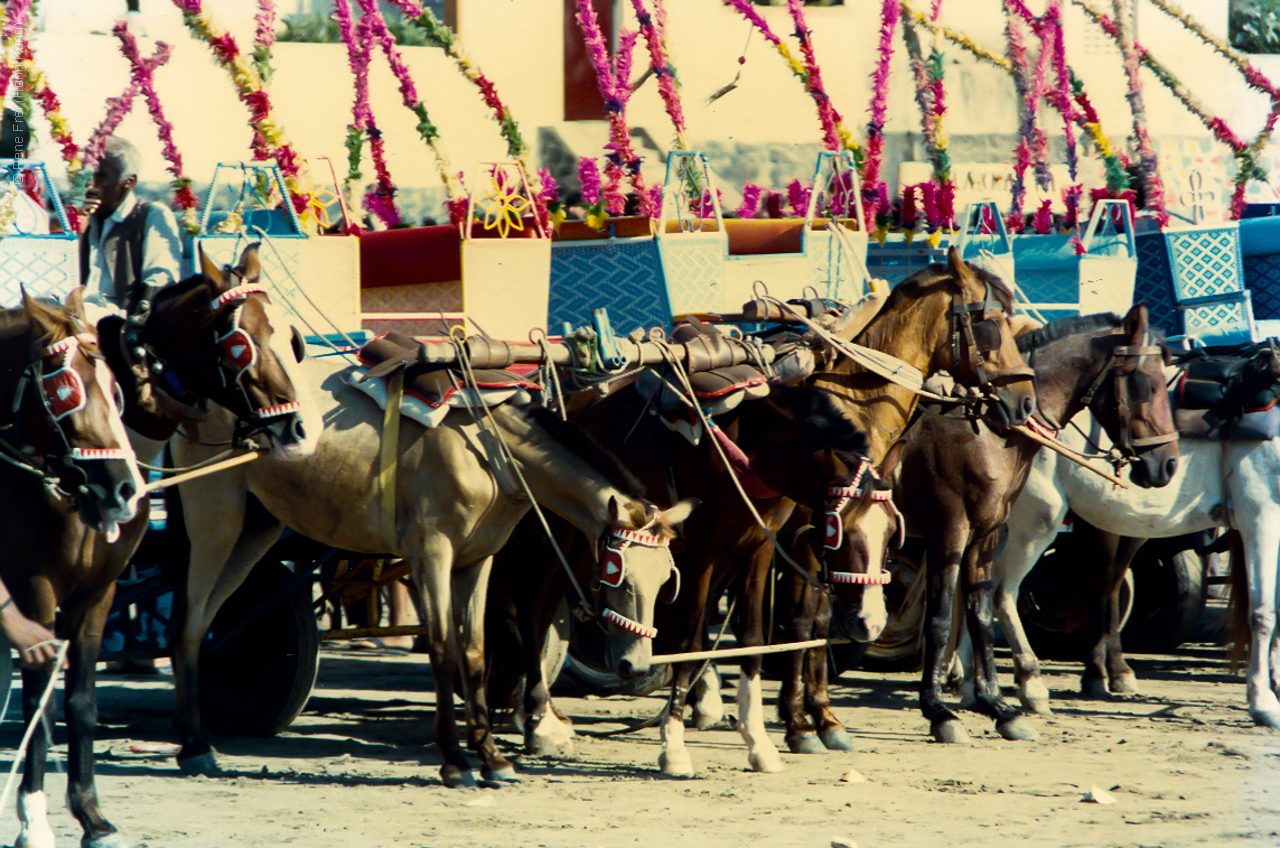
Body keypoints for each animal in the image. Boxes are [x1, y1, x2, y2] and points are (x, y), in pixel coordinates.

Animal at [6, 249, 316, 848]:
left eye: (289, 338)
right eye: (240, 341)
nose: (295, 427)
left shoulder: (98, 588)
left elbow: (80, 703)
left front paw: (92, 817)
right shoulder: (35, 585)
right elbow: (39, 701)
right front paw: (34, 818)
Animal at [168, 340, 696, 789]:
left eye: (666, 581)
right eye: (616, 574)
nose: (635, 664)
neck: (488, 447)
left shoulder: (476, 561)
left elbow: (475, 653)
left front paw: (491, 757)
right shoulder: (432, 556)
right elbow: (443, 651)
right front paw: (455, 761)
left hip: (255, 529)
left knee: (208, 617)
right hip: (216, 521)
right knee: (190, 622)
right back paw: (194, 744)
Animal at [890, 307, 1177, 742]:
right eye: (1149, 384)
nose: (1169, 464)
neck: (988, 428)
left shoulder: (985, 532)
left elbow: (979, 613)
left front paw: (995, 705)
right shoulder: (950, 530)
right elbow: (939, 619)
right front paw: (938, 711)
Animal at [988, 343, 1280, 727]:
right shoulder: (1261, 514)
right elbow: (1263, 612)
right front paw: (1263, 702)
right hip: (1036, 521)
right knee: (1001, 591)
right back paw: (1029, 684)